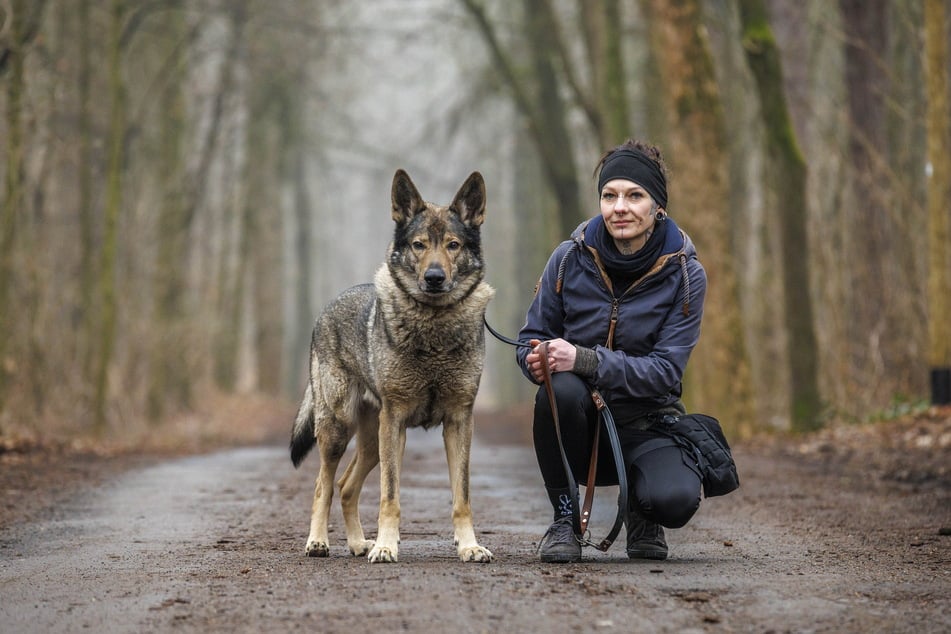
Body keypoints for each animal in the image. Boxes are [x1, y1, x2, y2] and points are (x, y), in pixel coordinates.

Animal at [290, 169, 498, 564]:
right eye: (419, 245)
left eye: (453, 245)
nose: (434, 277)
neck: (434, 328)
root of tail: (325, 311)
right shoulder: (397, 420)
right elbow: (390, 497)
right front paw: (387, 546)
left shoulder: (459, 421)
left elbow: (461, 498)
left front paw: (470, 546)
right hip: (341, 431)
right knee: (323, 485)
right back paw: (319, 542)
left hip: (373, 442)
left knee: (346, 486)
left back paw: (359, 544)